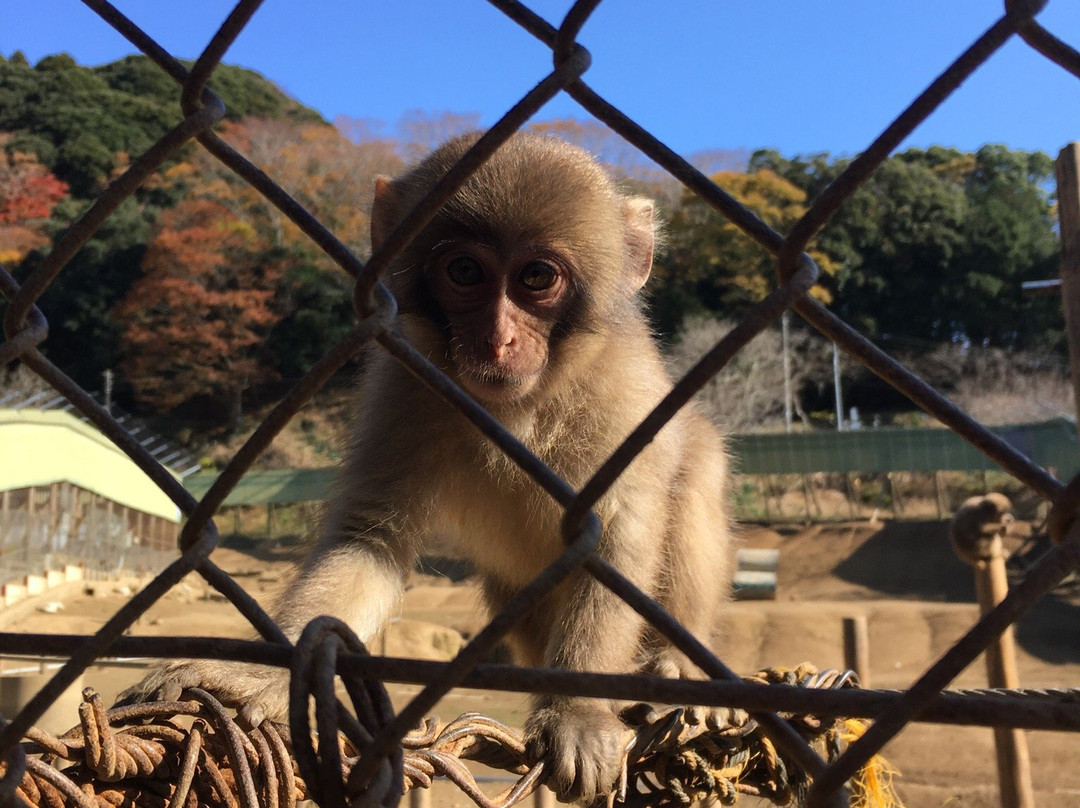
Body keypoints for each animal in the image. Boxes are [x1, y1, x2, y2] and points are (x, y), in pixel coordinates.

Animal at [128, 132, 734, 803]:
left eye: (537, 278)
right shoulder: (406, 385)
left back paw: (679, 664)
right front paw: (252, 675)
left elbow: (617, 534)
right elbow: (369, 538)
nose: (498, 340)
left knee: (697, 470)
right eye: (465, 273)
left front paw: (576, 707)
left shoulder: (622, 396)